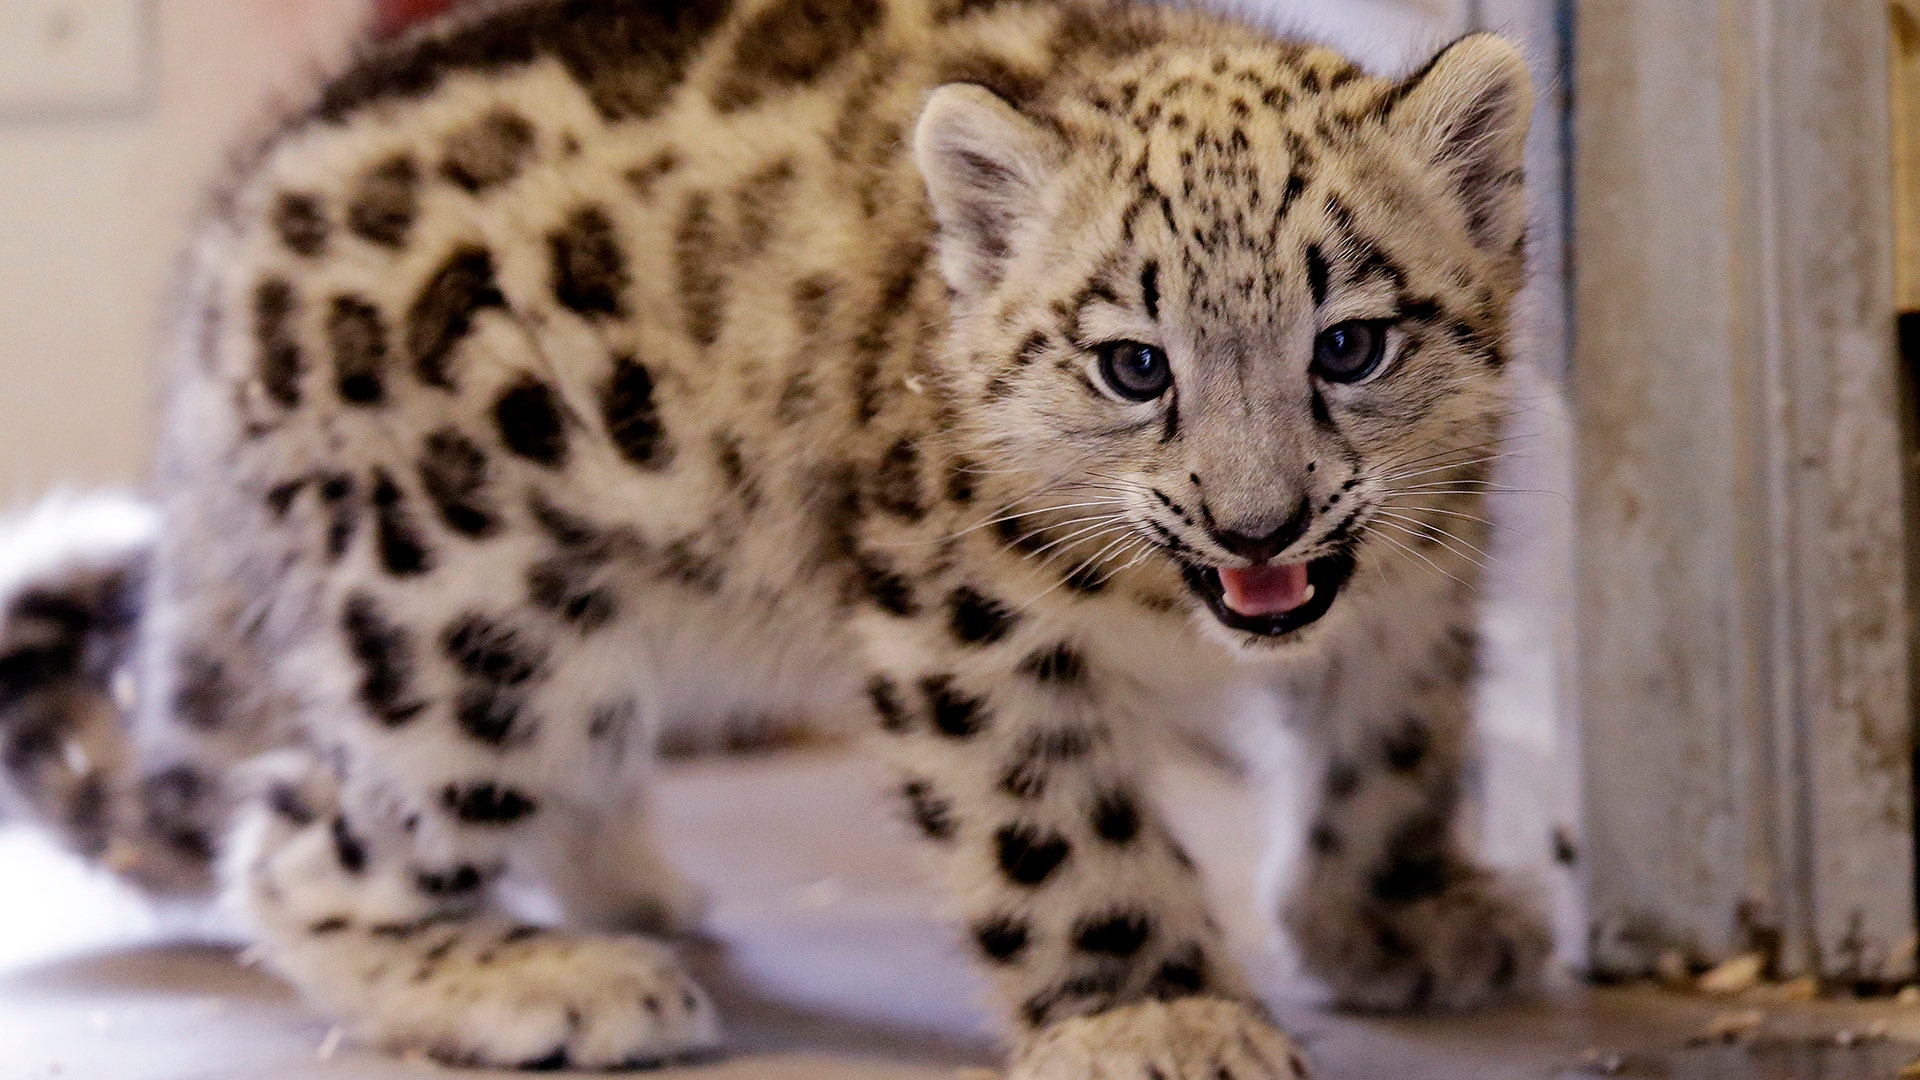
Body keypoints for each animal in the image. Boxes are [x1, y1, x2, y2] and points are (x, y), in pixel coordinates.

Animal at [0, 0, 1546, 1074]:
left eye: (1349, 343)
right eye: (1132, 365)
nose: (1256, 522)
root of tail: (220, 252)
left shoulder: (1429, 581)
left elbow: (1393, 748)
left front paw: (1401, 921)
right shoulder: (967, 624)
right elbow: (1055, 830)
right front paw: (1152, 1015)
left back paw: (626, 891)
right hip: (461, 618)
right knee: (299, 848)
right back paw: (551, 980)